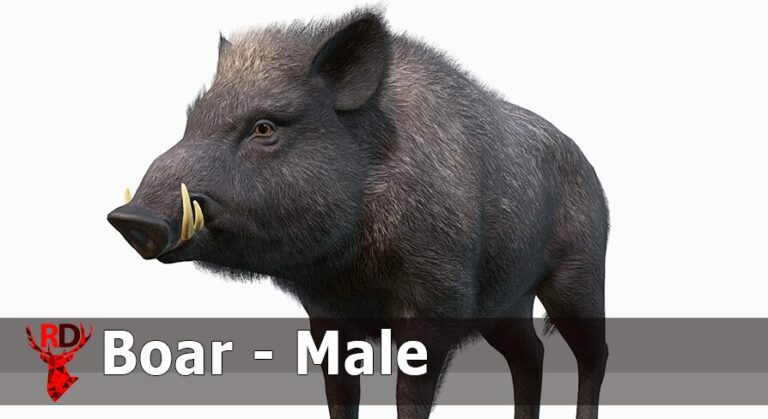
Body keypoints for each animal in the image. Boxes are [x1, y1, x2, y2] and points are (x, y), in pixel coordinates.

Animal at [108, 8, 609, 419]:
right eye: (192, 120)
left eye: (264, 127)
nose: (132, 218)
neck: (349, 267)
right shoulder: (325, 316)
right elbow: (340, 396)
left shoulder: (435, 302)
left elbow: (409, 400)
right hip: (508, 303)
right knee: (530, 355)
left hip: (580, 274)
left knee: (593, 352)